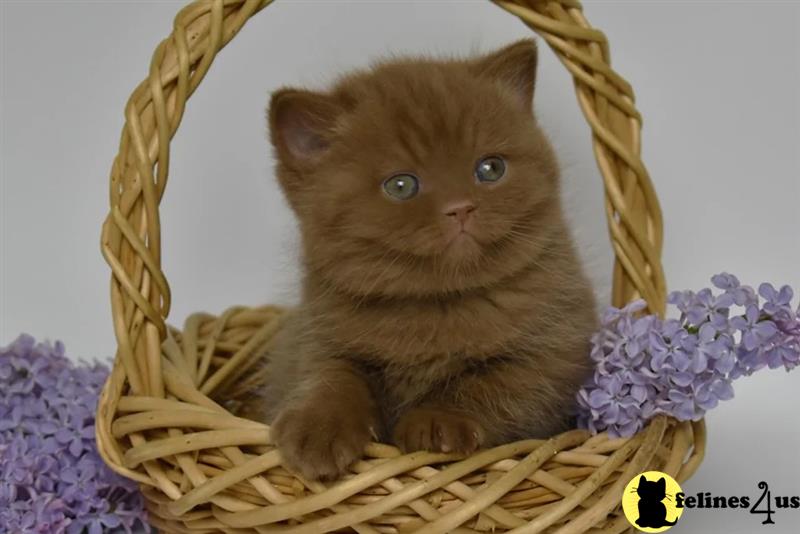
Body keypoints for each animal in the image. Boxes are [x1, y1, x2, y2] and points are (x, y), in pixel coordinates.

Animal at [241, 39, 596, 484]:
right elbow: (330, 375)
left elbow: (490, 385)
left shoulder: (554, 353)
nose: (460, 207)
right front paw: (317, 428)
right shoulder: (318, 335)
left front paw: (437, 423)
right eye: (401, 185)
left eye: (490, 168)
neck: (433, 305)